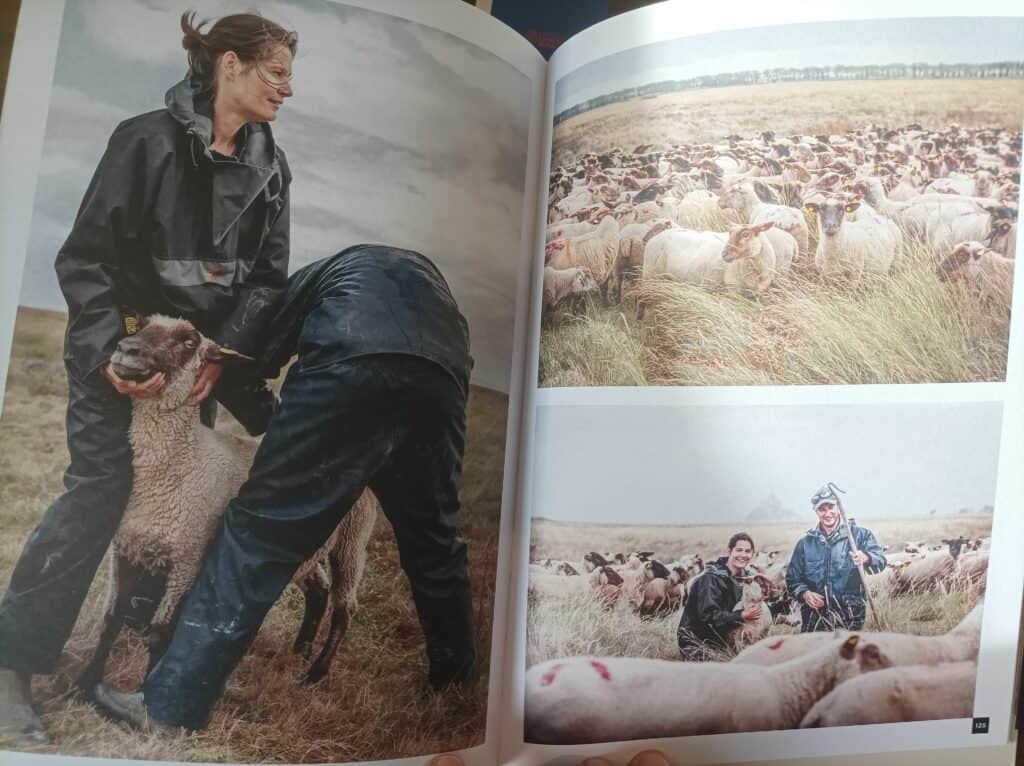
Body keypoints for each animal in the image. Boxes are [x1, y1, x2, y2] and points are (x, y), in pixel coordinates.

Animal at [77, 313, 378, 692]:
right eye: (142, 324)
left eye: (189, 341)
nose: (126, 348)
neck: (180, 466)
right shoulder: (126, 549)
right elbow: (112, 619)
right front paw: (85, 684)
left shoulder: (189, 559)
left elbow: (159, 634)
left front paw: (145, 693)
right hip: (304, 549)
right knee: (319, 589)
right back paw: (301, 648)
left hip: (353, 541)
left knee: (345, 606)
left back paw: (316, 673)